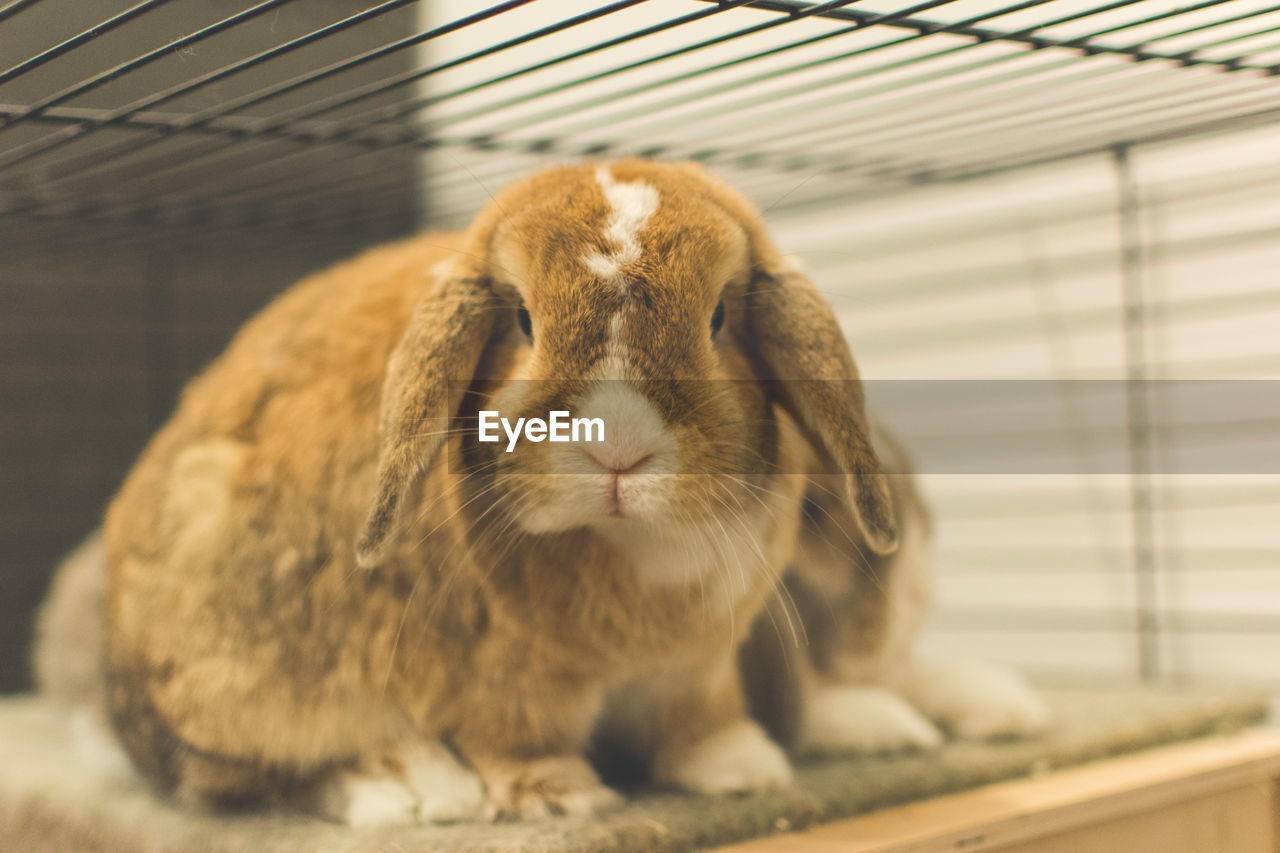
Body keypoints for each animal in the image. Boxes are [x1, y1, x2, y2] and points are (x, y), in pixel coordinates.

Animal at [94, 161, 901, 824]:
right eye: (521, 320)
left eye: (720, 318)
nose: (617, 448)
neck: (632, 548)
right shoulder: (500, 680)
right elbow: (511, 738)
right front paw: (558, 795)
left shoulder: (694, 670)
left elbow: (699, 721)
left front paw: (742, 768)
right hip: (239, 677)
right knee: (258, 777)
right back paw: (413, 791)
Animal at [742, 427, 1049, 753]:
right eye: (810, 509)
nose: (921, 592)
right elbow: (813, 706)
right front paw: (908, 729)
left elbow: (922, 678)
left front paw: (1014, 707)